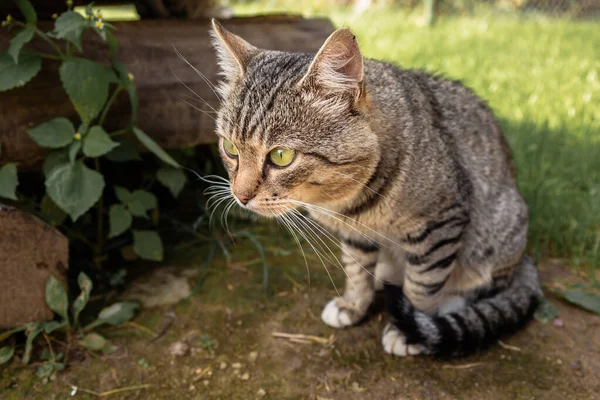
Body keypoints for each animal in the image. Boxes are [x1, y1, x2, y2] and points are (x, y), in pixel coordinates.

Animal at [210, 18, 544, 358]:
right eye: (230, 148)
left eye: (280, 156)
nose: (240, 196)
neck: (343, 202)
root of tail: (524, 257)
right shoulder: (355, 233)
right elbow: (356, 270)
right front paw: (353, 305)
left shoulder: (440, 223)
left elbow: (423, 284)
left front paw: (408, 328)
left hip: (498, 229)